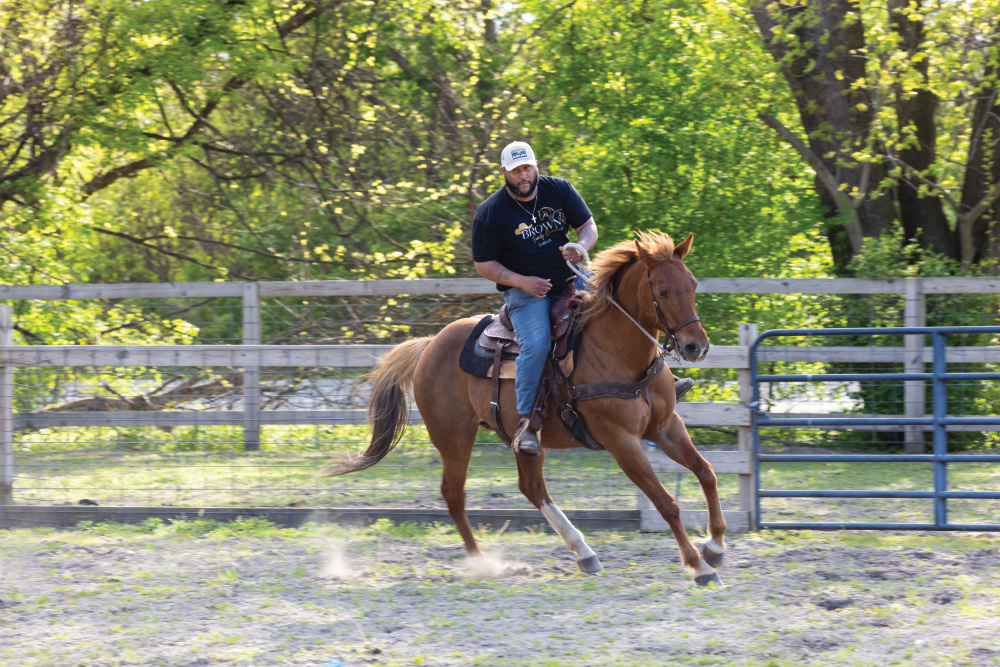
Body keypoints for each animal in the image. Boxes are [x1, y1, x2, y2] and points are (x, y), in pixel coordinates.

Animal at [325, 232, 726, 586]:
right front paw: (699, 566)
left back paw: (584, 553)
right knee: (454, 494)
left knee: (531, 487)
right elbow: (666, 502)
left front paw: (715, 546)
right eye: (662, 290)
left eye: (692, 285)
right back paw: (484, 563)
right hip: (453, 436)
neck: (616, 351)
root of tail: (429, 344)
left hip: (521, 437)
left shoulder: (666, 427)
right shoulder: (622, 441)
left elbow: (706, 473)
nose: (696, 347)